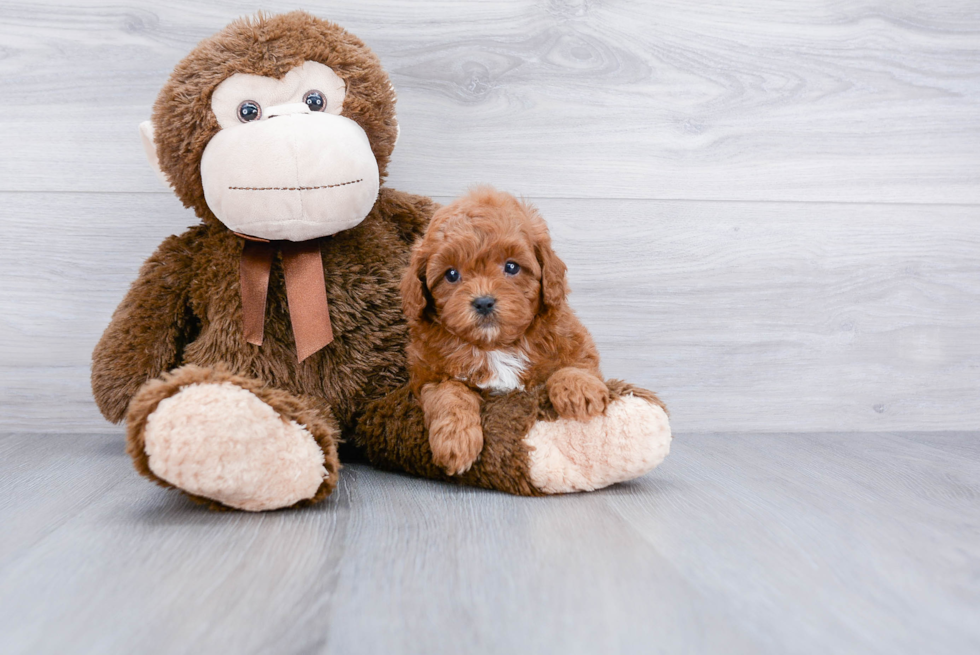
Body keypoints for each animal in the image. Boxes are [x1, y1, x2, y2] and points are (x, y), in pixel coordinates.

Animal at [402, 187, 608, 474]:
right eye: (451, 274)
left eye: (511, 267)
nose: (483, 301)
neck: (496, 346)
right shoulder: (429, 375)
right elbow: (450, 395)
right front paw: (455, 440)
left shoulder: (574, 339)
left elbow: (575, 364)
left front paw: (579, 392)